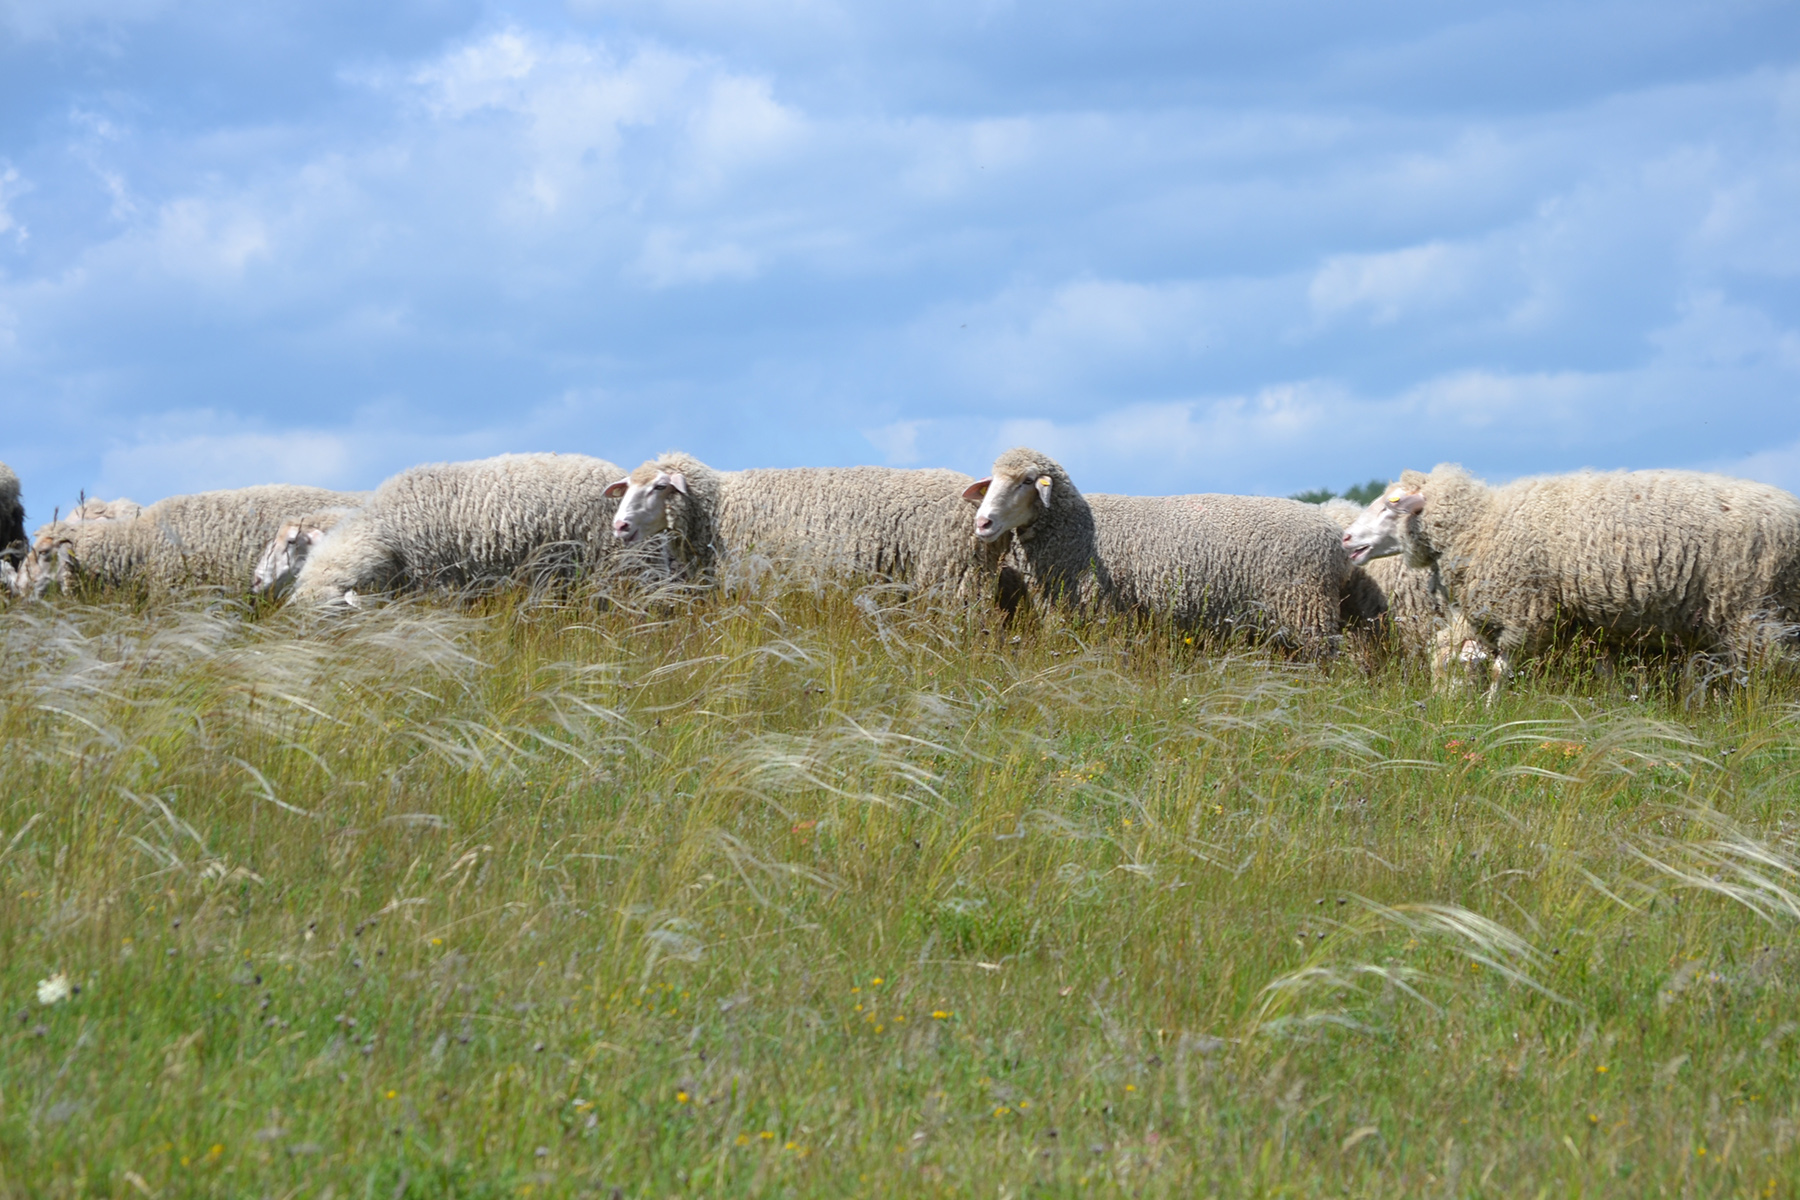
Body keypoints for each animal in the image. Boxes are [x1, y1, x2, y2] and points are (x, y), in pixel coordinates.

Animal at [972, 449, 1353, 658]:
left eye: (1026, 481)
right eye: (990, 482)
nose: (982, 522)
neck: (1076, 527)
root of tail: (1332, 526)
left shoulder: (1100, 609)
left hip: (1307, 607)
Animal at [1346, 464, 1800, 698]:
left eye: (1392, 505)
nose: (1347, 538)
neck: (1481, 523)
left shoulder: (1524, 615)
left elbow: (1499, 672)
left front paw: (1491, 710)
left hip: (1755, 612)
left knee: (1767, 672)